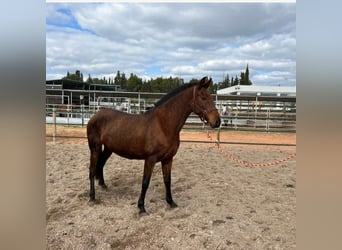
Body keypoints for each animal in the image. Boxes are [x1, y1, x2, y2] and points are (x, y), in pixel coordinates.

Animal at [87, 75, 220, 213]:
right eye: (203, 97)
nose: (217, 122)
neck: (163, 124)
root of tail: (95, 116)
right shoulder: (150, 159)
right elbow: (145, 182)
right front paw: (141, 207)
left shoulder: (168, 159)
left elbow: (167, 180)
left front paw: (171, 202)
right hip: (95, 148)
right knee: (92, 170)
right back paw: (92, 197)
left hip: (108, 149)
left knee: (101, 164)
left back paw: (103, 185)